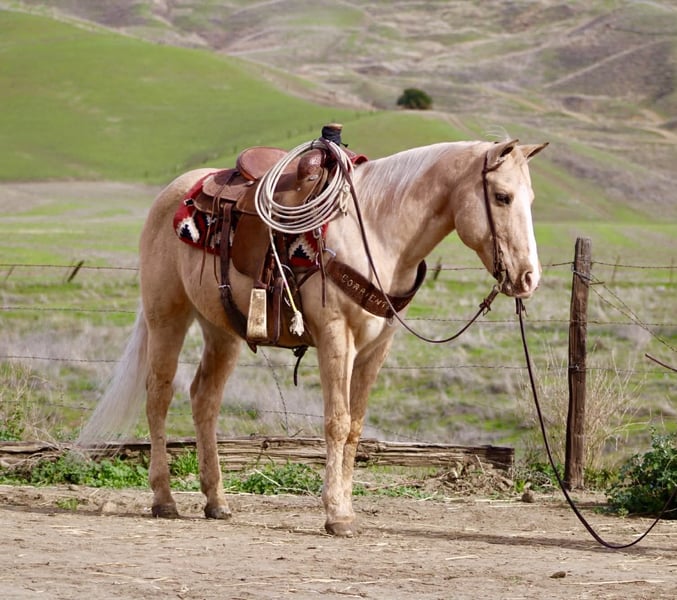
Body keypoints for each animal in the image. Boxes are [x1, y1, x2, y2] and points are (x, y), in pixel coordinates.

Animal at [78, 135, 547, 537]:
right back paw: (164, 499)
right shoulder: (337, 337)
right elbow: (336, 422)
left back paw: (217, 501)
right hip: (168, 316)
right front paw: (336, 514)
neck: (377, 230)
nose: (528, 278)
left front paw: (346, 507)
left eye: (531, 200)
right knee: (159, 395)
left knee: (204, 399)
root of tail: (174, 193)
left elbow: (356, 427)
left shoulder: (377, 347)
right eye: (502, 197)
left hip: (221, 329)